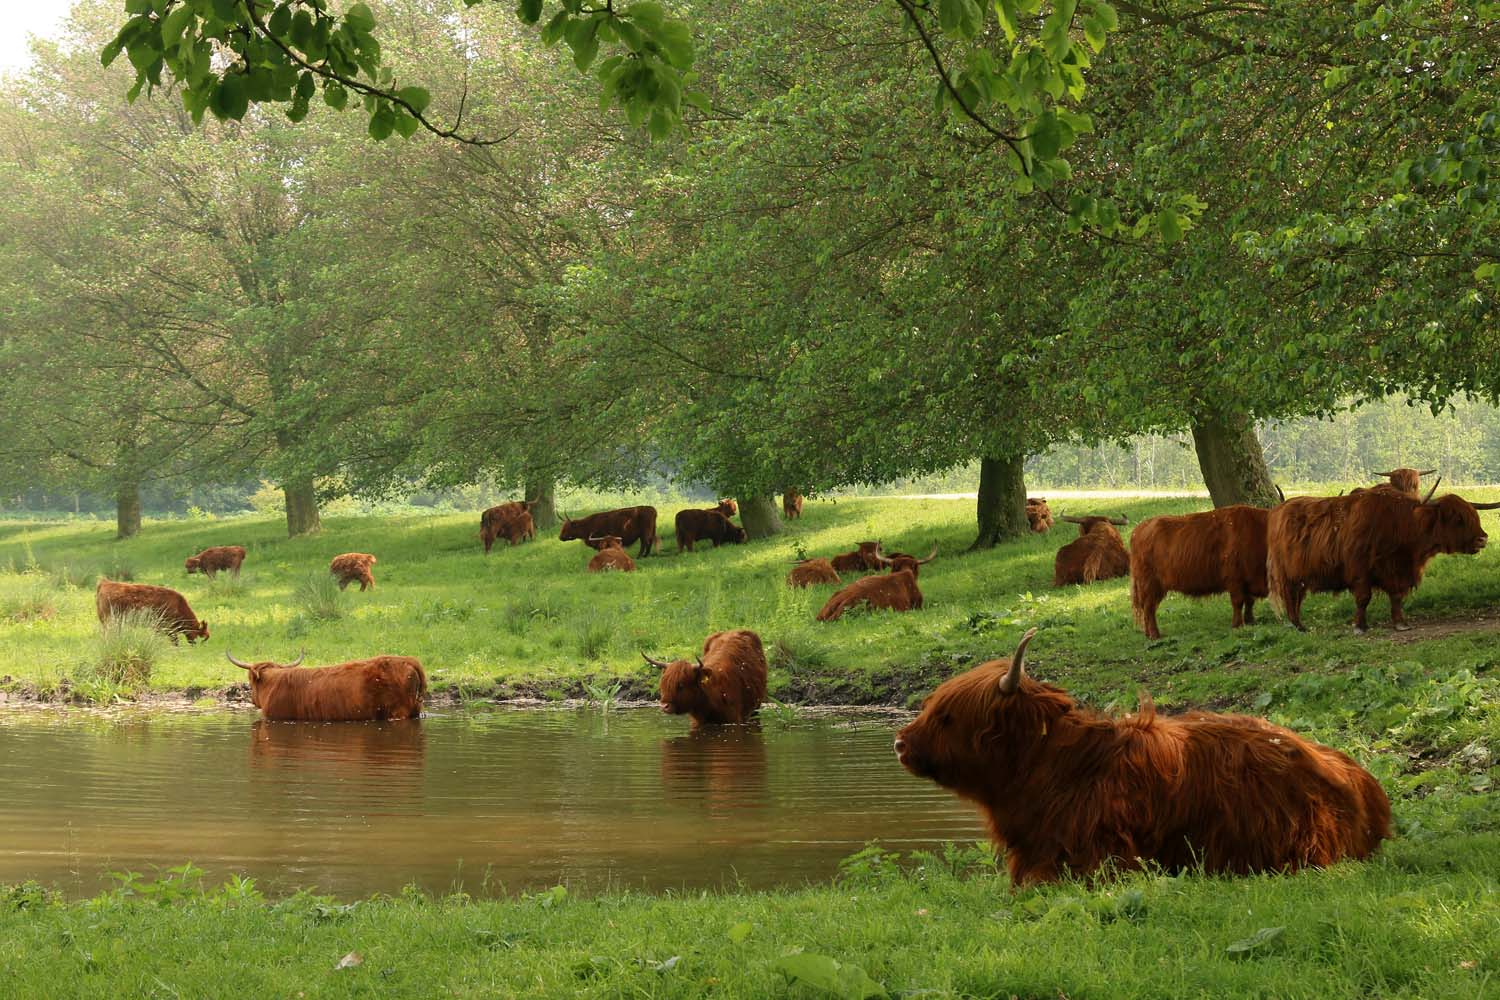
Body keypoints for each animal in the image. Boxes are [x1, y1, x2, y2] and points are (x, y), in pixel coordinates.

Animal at [1128, 503, 1272, 638]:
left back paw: (1148, 634)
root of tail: (1139, 528)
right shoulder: (1235, 579)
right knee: (1149, 608)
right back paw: (1155, 635)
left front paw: (1251, 621)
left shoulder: (1248, 579)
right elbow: (1238, 602)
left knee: (1147, 609)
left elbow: (1249, 601)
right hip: (1150, 585)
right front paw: (1237, 625)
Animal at [1266, 479, 1500, 632]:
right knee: (1291, 598)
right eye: (1456, 518)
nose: (1483, 539)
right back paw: (1298, 626)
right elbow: (1363, 598)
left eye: (1473, 514)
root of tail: (1281, 509)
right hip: (1287, 574)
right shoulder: (1360, 569)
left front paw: (1400, 623)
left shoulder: (1397, 570)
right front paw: (1360, 626)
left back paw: (1301, 625)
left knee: (1297, 598)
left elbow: (1396, 597)